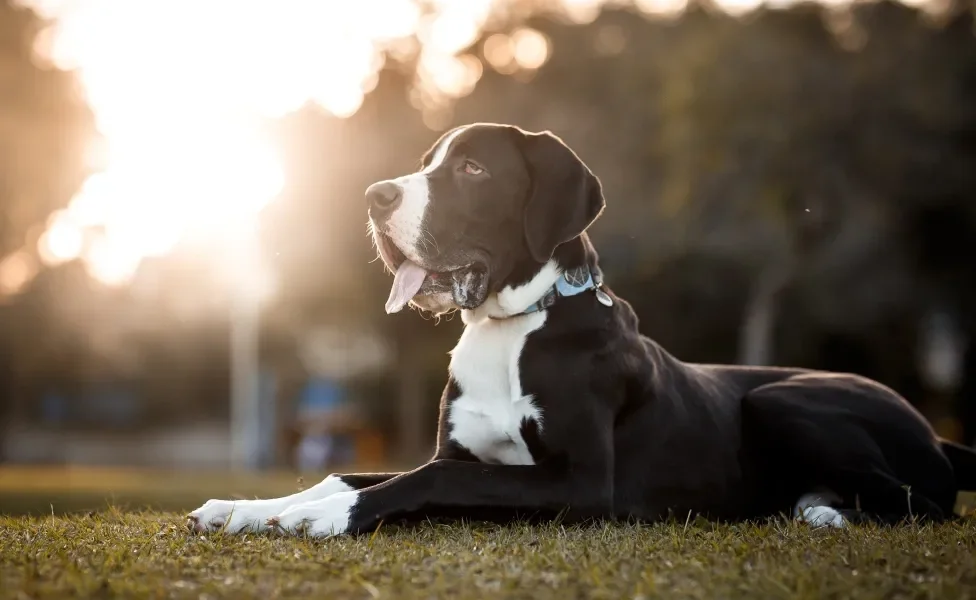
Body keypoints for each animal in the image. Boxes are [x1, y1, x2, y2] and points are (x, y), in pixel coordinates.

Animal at [189, 120, 976, 536]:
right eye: (425, 164)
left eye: (472, 169)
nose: (373, 196)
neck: (513, 324)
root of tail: (938, 434)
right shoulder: (465, 453)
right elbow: (353, 469)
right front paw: (247, 507)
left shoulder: (584, 484)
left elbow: (427, 478)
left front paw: (329, 516)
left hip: (784, 398)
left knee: (924, 502)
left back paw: (825, 513)